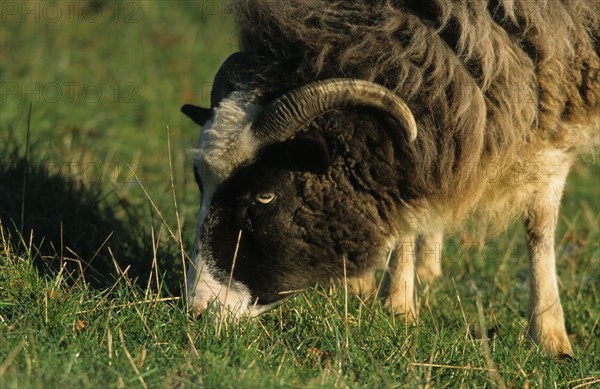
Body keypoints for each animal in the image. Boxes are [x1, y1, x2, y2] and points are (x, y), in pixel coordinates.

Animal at [180, 0, 596, 358]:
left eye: (265, 196)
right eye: (200, 184)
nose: (199, 309)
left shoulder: (559, 75)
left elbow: (540, 222)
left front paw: (550, 336)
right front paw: (397, 305)